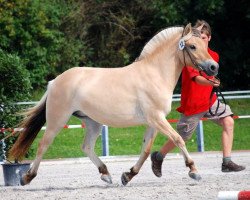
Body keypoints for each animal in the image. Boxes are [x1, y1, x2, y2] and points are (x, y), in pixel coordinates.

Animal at [8, 23, 218, 186]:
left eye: (204, 44)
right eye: (192, 46)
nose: (213, 67)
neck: (154, 74)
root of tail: (55, 81)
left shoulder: (153, 122)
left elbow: (146, 150)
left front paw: (127, 175)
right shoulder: (157, 118)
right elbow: (178, 139)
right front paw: (193, 170)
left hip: (93, 122)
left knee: (86, 147)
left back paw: (106, 174)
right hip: (57, 120)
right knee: (44, 144)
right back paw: (26, 177)